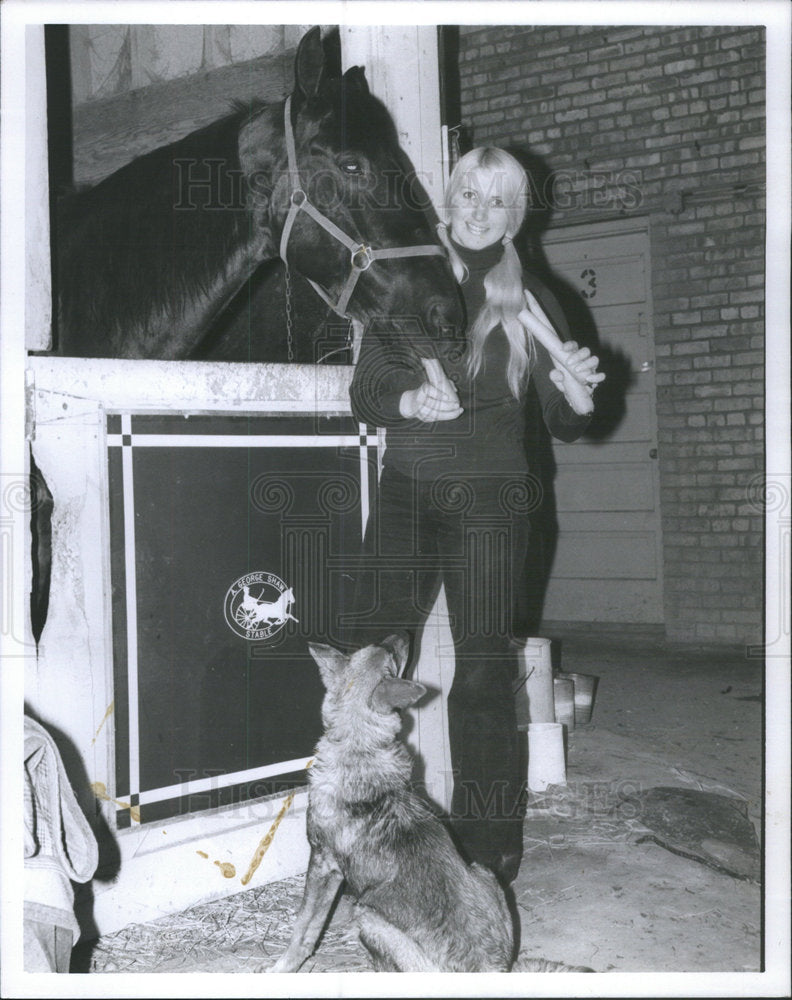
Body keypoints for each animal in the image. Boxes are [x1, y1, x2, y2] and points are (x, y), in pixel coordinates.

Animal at [270, 636, 592, 972]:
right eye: (380, 647)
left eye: (392, 655)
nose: (404, 634)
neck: (360, 746)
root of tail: (490, 968)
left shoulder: (322, 864)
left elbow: (303, 930)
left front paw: (282, 966)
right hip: (484, 873)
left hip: (367, 915)